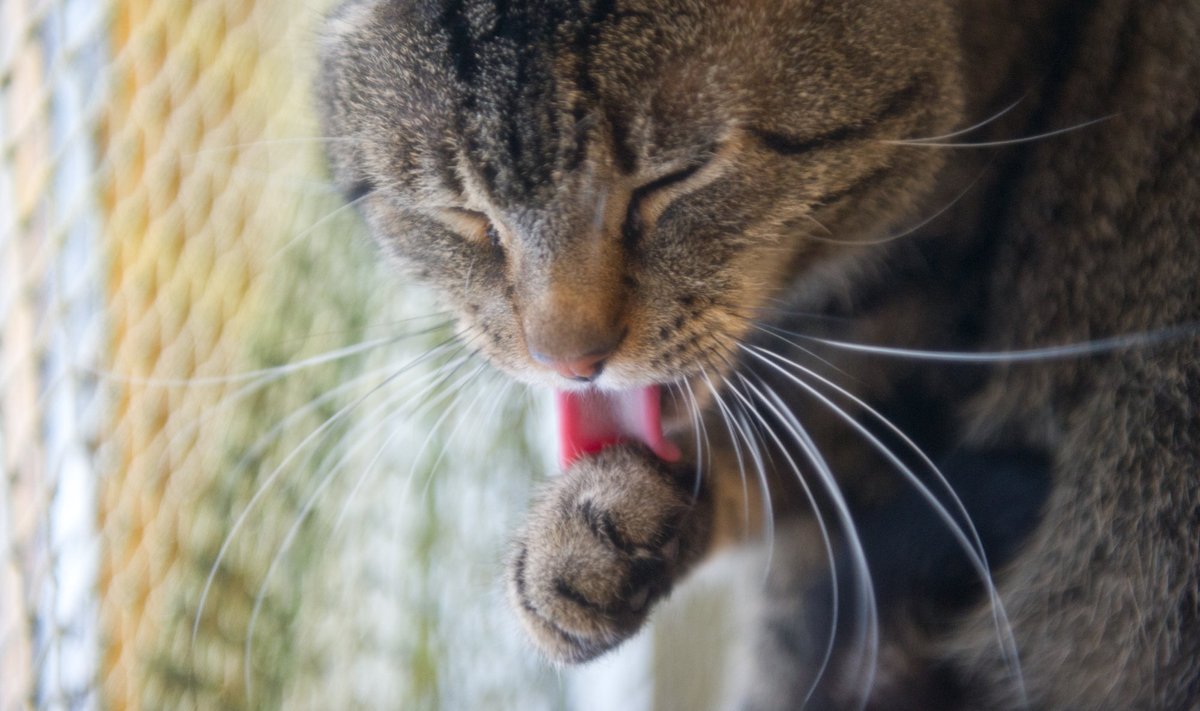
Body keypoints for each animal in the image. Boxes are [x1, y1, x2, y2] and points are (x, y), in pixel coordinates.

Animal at [319, 1, 1200, 706]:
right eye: (462, 212)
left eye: (673, 179)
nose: (570, 358)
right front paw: (598, 535)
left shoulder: (915, 345)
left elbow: (797, 470)